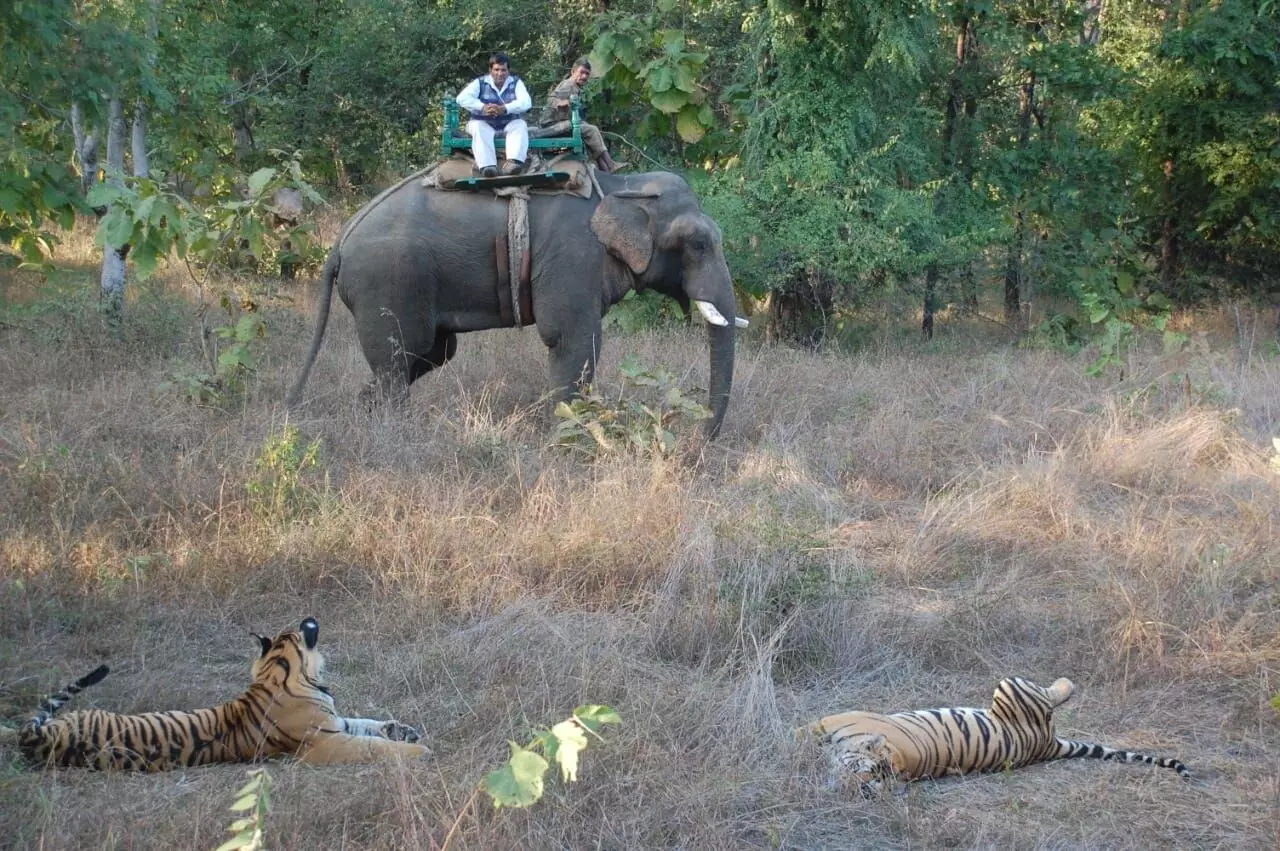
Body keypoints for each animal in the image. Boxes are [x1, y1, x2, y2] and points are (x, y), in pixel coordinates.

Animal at [0, 616, 432, 767]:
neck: (278, 672)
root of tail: (38, 739)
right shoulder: (325, 743)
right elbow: (372, 745)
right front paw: (417, 750)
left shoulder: (336, 721)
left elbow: (367, 722)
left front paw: (404, 729)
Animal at [288, 168, 747, 435]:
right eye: (699, 244)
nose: (696, 444)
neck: (622, 187)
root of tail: (338, 247)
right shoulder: (572, 258)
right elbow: (572, 340)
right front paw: (568, 441)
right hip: (388, 282)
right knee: (400, 358)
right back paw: (391, 428)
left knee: (430, 354)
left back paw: (363, 412)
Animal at [803, 675, 1192, 793]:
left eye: (867, 778)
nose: (854, 790)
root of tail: (1049, 746)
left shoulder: (838, 718)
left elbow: (801, 730)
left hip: (1011, 684)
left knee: (1054, 691)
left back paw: (1067, 684)